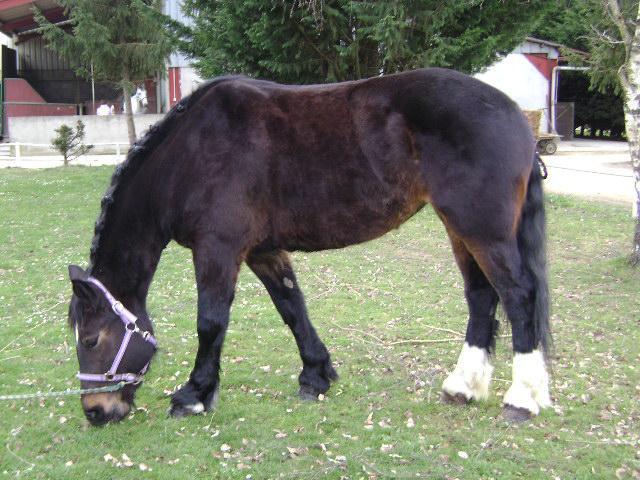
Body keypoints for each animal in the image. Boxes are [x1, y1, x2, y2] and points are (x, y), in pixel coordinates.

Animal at [67, 68, 551, 426]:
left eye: (91, 339)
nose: (96, 412)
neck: (189, 154)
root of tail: (517, 118)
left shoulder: (218, 250)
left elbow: (210, 322)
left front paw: (194, 394)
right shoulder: (262, 250)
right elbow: (292, 307)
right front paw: (316, 375)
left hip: (482, 231)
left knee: (518, 296)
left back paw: (521, 398)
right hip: (460, 230)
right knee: (482, 297)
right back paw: (463, 387)